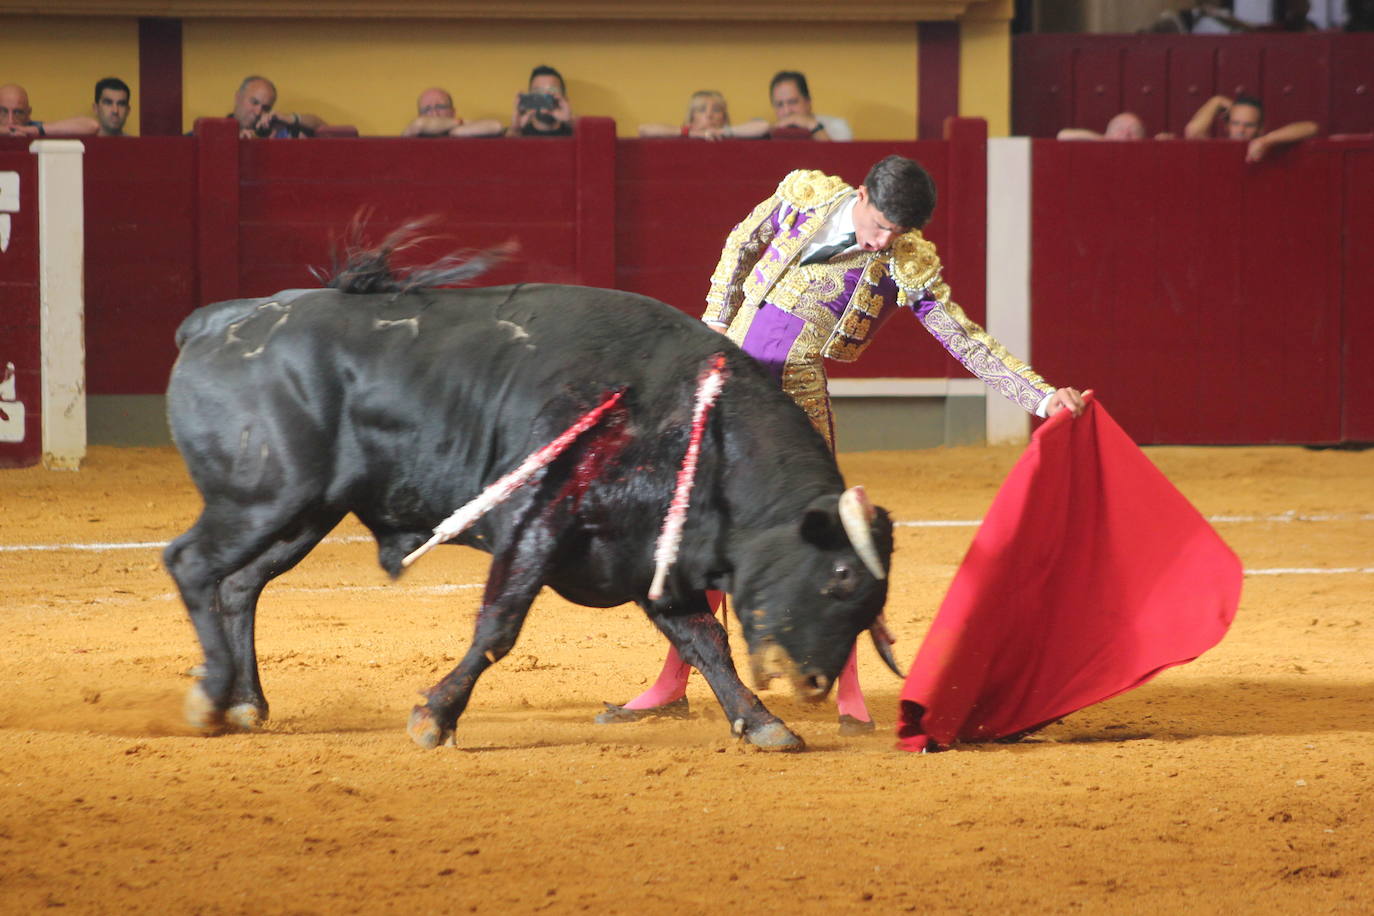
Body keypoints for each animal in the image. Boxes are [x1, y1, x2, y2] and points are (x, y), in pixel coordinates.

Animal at [163, 245, 890, 752]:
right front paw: (434, 717)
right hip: (265, 497)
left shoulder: (648, 555)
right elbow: (499, 627)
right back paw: (210, 698)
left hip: (302, 512)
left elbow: (705, 641)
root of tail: (215, 322)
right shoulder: (534, 526)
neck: (690, 423)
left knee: (241, 585)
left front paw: (763, 723)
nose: (814, 685)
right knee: (192, 564)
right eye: (839, 576)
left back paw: (246, 704)